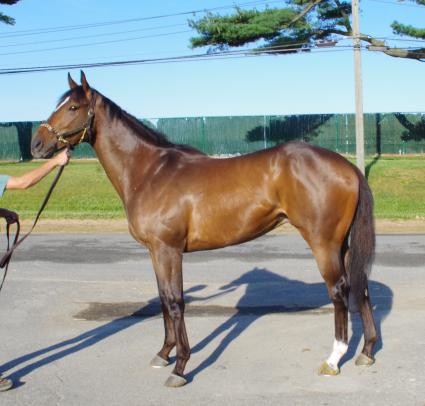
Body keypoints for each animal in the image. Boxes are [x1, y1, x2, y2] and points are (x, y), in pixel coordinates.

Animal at [29, 72, 376, 386]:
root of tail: (347, 166)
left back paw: (333, 359)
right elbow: (162, 298)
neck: (150, 172)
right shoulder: (155, 252)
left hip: (323, 244)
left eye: (73, 107)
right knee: (360, 286)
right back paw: (367, 351)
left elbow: (175, 301)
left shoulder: (168, 250)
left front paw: (180, 367)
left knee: (339, 290)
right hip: (342, 245)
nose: (37, 144)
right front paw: (163, 353)